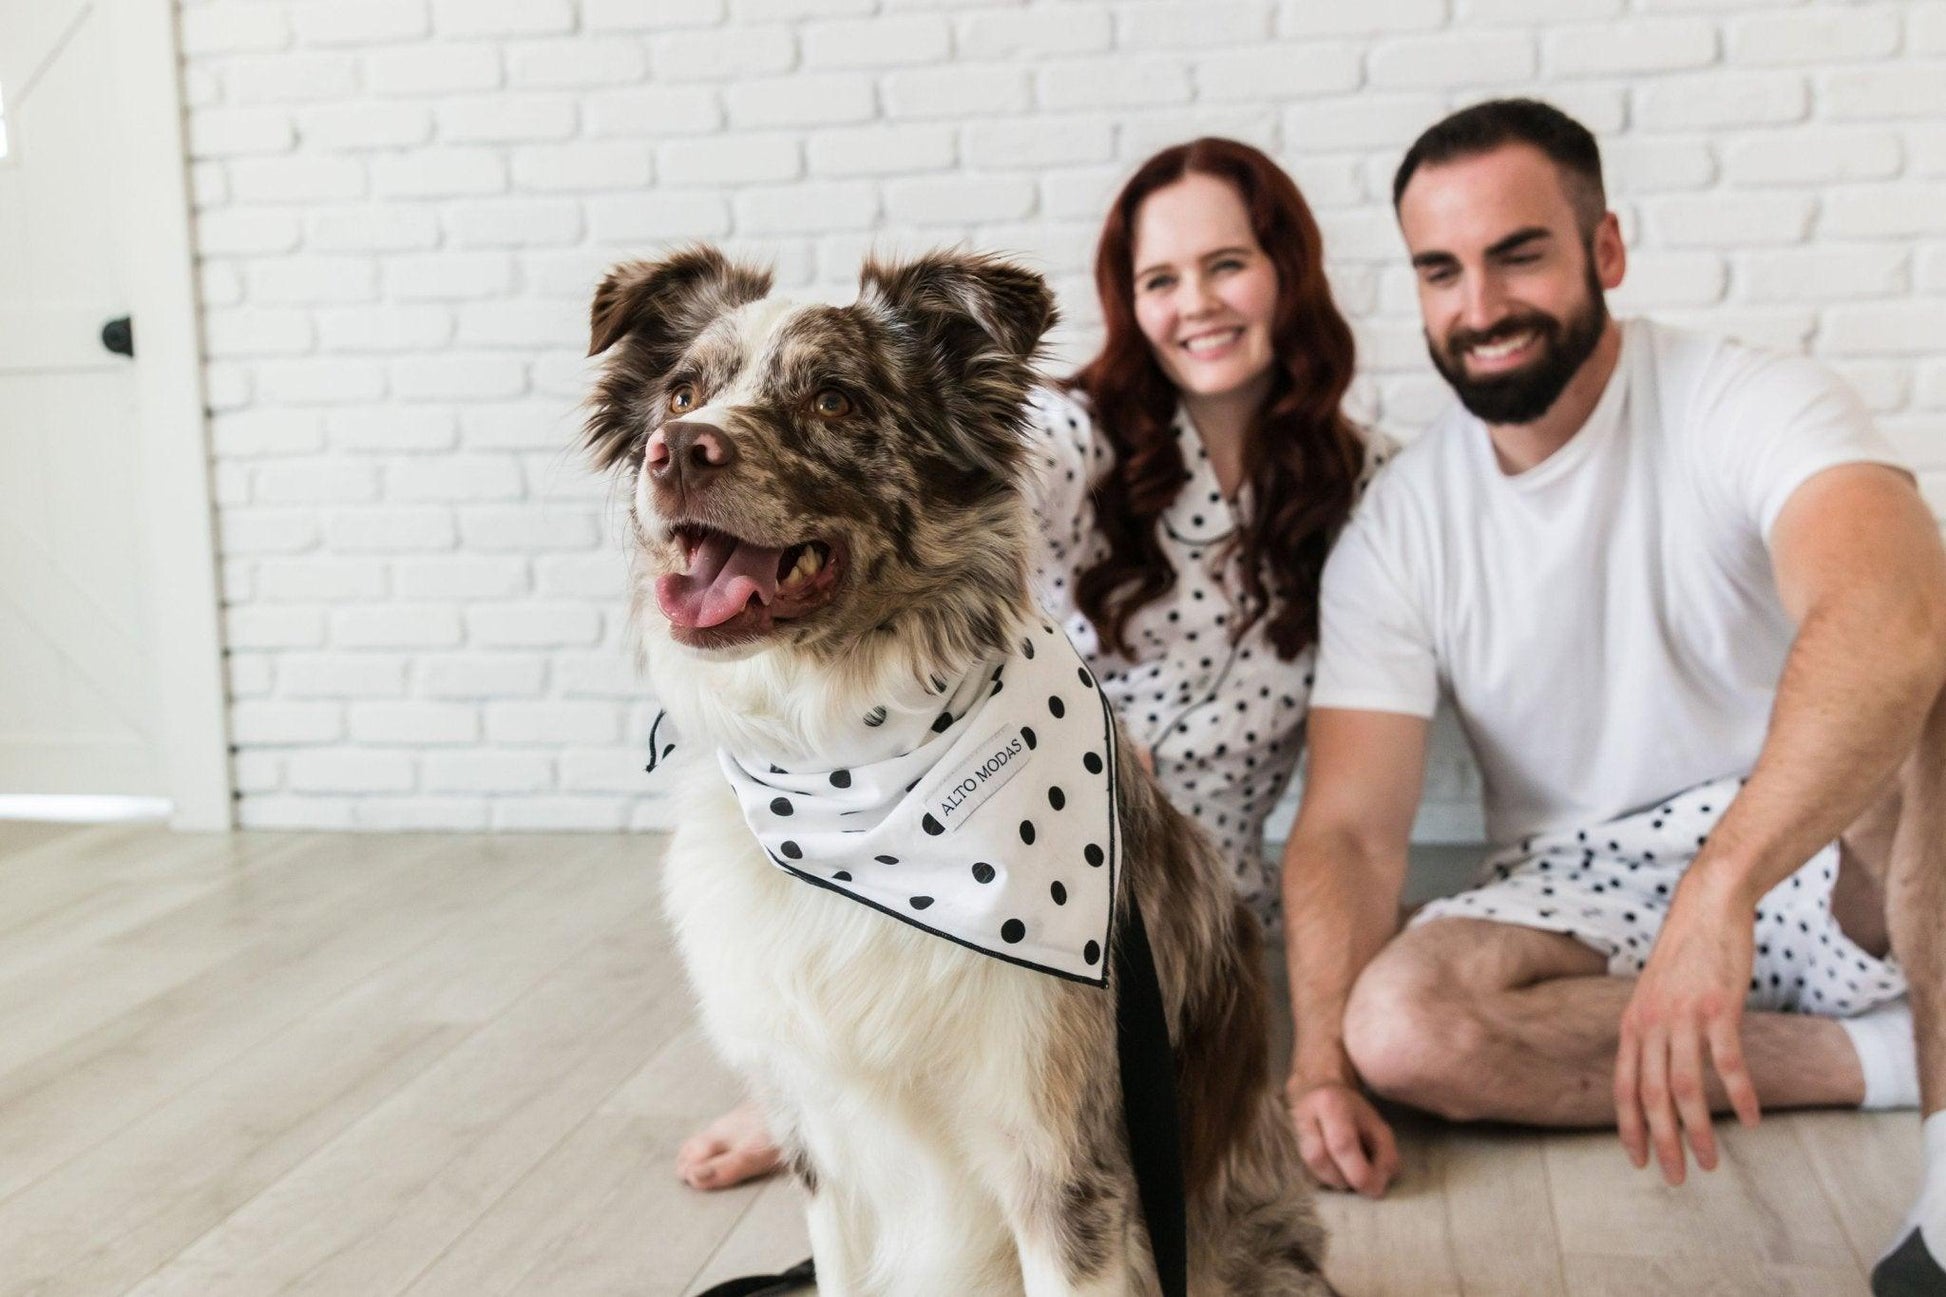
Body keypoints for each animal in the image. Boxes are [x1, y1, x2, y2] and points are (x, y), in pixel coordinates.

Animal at [583, 245, 1331, 1293]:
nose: (678, 449)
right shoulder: (825, 1147)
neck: (846, 767)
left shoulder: (1066, 1174)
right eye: (683, 392)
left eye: (835, 401)